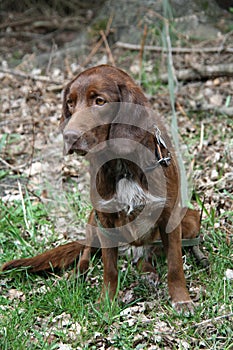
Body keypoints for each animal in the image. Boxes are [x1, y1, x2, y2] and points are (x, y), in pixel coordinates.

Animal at [1, 64, 200, 314]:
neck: (123, 164)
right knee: (87, 250)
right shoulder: (104, 218)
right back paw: (79, 273)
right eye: (70, 103)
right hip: (92, 218)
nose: (69, 136)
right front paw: (106, 301)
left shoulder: (170, 216)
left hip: (190, 221)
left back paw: (148, 272)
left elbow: (174, 264)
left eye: (99, 101)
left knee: (145, 255)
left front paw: (181, 299)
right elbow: (109, 268)